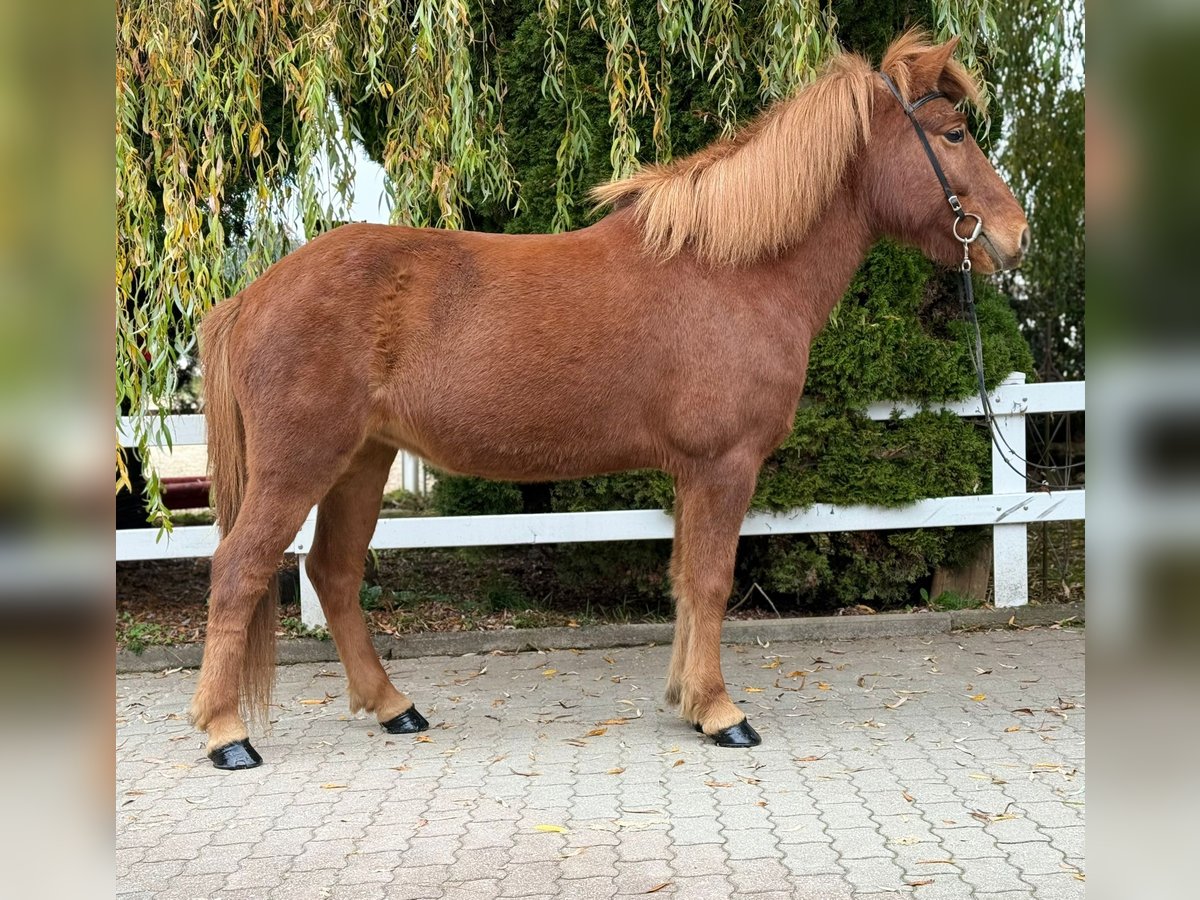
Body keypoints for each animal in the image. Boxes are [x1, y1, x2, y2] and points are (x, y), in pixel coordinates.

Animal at [192, 31, 1027, 772]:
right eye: (954, 133)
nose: (1015, 236)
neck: (732, 272)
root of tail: (253, 295)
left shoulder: (694, 473)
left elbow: (686, 580)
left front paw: (688, 702)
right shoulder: (725, 466)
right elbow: (712, 581)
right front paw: (722, 713)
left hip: (363, 463)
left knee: (333, 573)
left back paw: (395, 707)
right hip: (301, 464)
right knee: (238, 570)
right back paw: (227, 735)